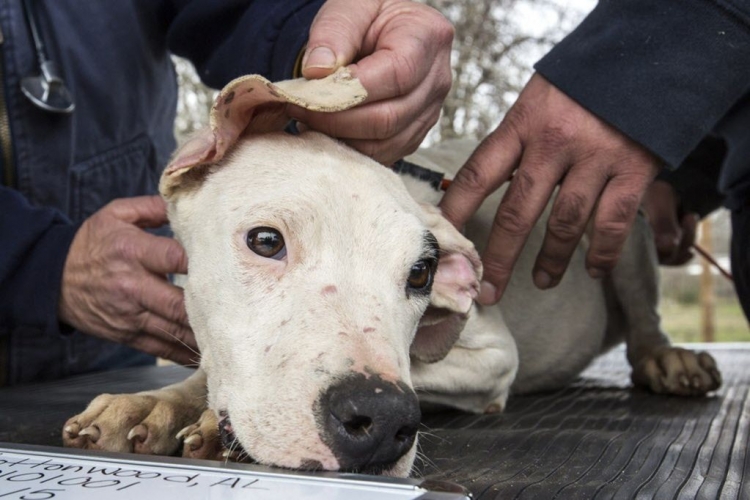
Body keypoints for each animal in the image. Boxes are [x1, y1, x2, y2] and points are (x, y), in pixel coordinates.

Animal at [63, 70, 724, 476]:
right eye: (266, 241)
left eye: (421, 275)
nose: (381, 422)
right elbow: (207, 371)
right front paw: (154, 406)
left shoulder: (493, 357)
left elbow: (423, 369)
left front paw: (199, 416)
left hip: (622, 227)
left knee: (644, 319)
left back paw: (668, 358)